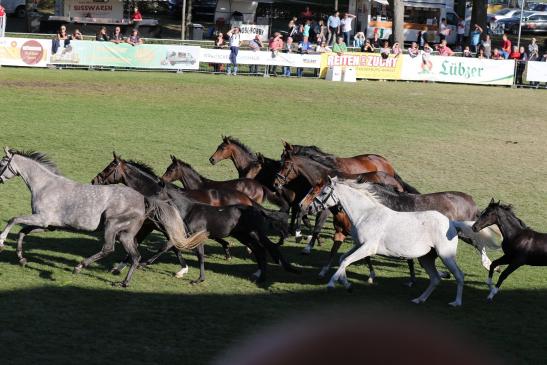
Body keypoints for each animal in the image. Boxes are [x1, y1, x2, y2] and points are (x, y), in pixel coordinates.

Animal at [0, 146, 208, 286]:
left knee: (109, 248)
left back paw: (79, 267)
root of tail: (144, 199)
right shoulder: (47, 225)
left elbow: (14, 220)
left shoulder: (41, 219)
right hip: (126, 234)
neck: (46, 185)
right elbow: (22, 231)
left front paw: (2, 241)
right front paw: (22, 259)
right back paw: (124, 282)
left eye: (2, 163)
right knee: (136, 255)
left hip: (111, 225)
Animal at [312, 176, 476, 304]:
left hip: (445, 255)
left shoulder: (368, 247)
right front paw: (347, 285)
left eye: (324, 192)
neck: (366, 214)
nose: (312, 207)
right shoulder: (359, 245)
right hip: (426, 258)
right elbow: (342, 259)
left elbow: (346, 261)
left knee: (459, 275)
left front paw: (331, 284)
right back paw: (419, 299)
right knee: (435, 279)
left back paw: (456, 303)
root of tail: (452, 223)